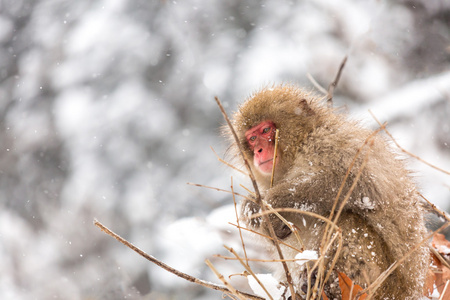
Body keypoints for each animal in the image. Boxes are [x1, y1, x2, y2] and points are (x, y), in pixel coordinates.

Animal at [227, 85, 428, 298]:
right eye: (252, 138)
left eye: (265, 130)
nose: (258, 151)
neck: (302, 142)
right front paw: (252, 208)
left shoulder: (330, 141)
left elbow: (357, 183)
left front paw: (272, 204)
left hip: (384, 285)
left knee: (348, 221)